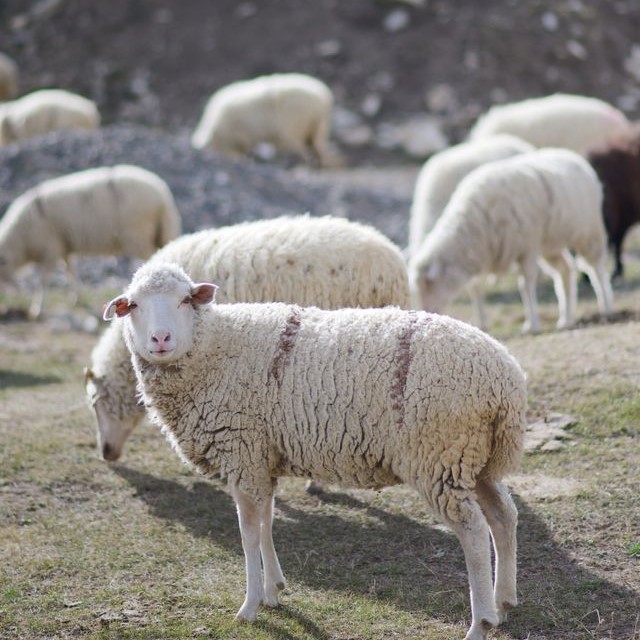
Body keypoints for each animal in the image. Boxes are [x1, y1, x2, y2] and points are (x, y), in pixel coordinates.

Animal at [0, 164, 181, 317]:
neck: (21, 239)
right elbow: (70, 271)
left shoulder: (50, 248)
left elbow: (43, 281)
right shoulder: (64, 247)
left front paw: (37, 308)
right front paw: (76, 297)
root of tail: (164, 196)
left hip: (137, 236)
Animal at [104, 260, 528, 640]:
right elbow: (267, 523)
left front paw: (250, 605)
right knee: (503, 516)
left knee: (474, 533)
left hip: (438, 457)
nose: (160, 339)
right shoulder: (261, 458)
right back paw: (504, 602)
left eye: (185, 300)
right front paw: (274, 590)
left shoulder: (242, 453)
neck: (215, 347)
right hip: (475, 460)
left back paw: (480, 623)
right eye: (134, 305)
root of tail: (506, 379)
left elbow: (248, 533)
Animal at [191, 73, 338, 167]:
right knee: (315, 147)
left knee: (303, 148)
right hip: (317, 126)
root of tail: (324, 95)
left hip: (296, 125)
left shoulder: (240, 137)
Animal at [409, 148, 614, 334]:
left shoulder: (528, 247)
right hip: (551, 245)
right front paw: (483, 323)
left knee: (596, 268)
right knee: (565, 270)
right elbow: (477, 289)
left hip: (588, 232)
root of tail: (572, 155)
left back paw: (606, 306)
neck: (472, 226)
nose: (426, 311)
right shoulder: (485, 254)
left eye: (429, 283)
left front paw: (532, 324)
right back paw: (566, 318)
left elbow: (525, 285)